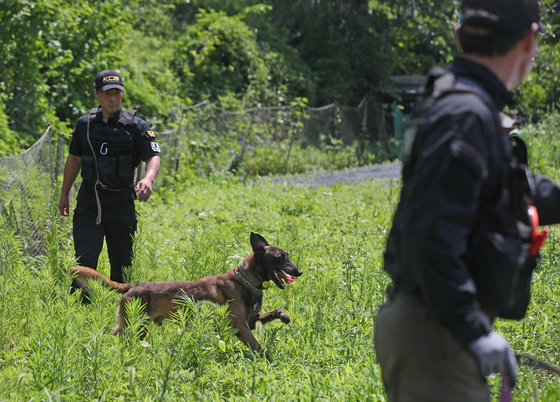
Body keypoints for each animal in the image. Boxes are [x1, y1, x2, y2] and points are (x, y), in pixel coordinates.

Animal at [69, 232, 302, 362]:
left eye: (288, 255)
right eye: (280, 257)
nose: (299, 271)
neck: (245, 280)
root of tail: (132, 286)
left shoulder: (251, 321)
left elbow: (274, 312)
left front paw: (284, 316)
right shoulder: (240, 327)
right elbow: (260, 348)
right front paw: (272, 364)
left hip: (135, 327)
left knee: (113, 335)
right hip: (134, 326)